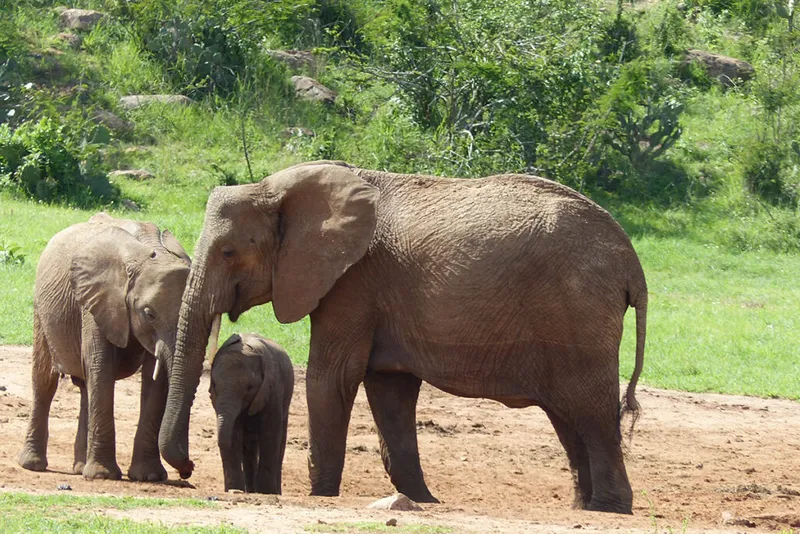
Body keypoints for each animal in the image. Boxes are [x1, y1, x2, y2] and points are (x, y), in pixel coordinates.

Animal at [18, 213, 193, 482]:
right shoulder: (96, 302)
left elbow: (155, 381)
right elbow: (102, 368)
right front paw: (103, 475)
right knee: (45, 381)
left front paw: (149, 476)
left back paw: (80, 468)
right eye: (149, 314)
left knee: (84, 387)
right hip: (41, 309)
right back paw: (33, 465)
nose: (188, 470)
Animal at [209, 332, 294, 496]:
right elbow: (234, 432)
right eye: (214, 385)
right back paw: (251, 490)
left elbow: (270, 432)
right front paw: (234, 489)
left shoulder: (274, 388)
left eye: (249, 387)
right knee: (249, 445)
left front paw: (266, 492)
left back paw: (274, 492)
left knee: (280, 440)